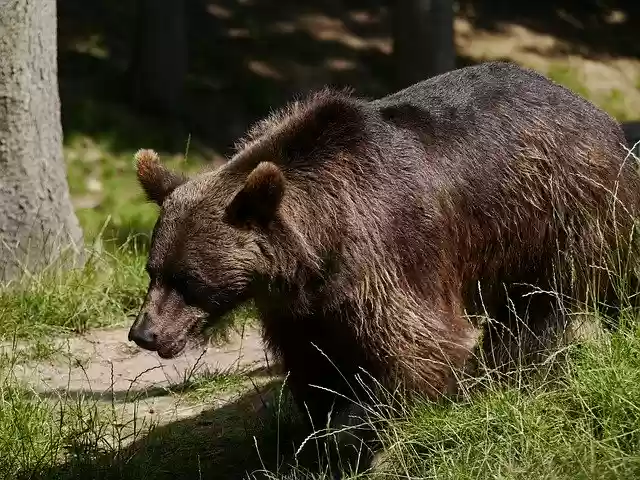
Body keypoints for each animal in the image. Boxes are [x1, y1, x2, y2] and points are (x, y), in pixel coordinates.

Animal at [128, 61, 640, 471]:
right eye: (153, 270)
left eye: (188, 279)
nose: (144, 333)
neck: (318, 247)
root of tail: (596, 112)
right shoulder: (303, 306)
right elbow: (315, 367)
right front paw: (316, 435)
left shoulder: (389, 254)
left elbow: (420, 348)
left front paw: (366, 435)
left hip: (562, 210)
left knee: (549, 306)